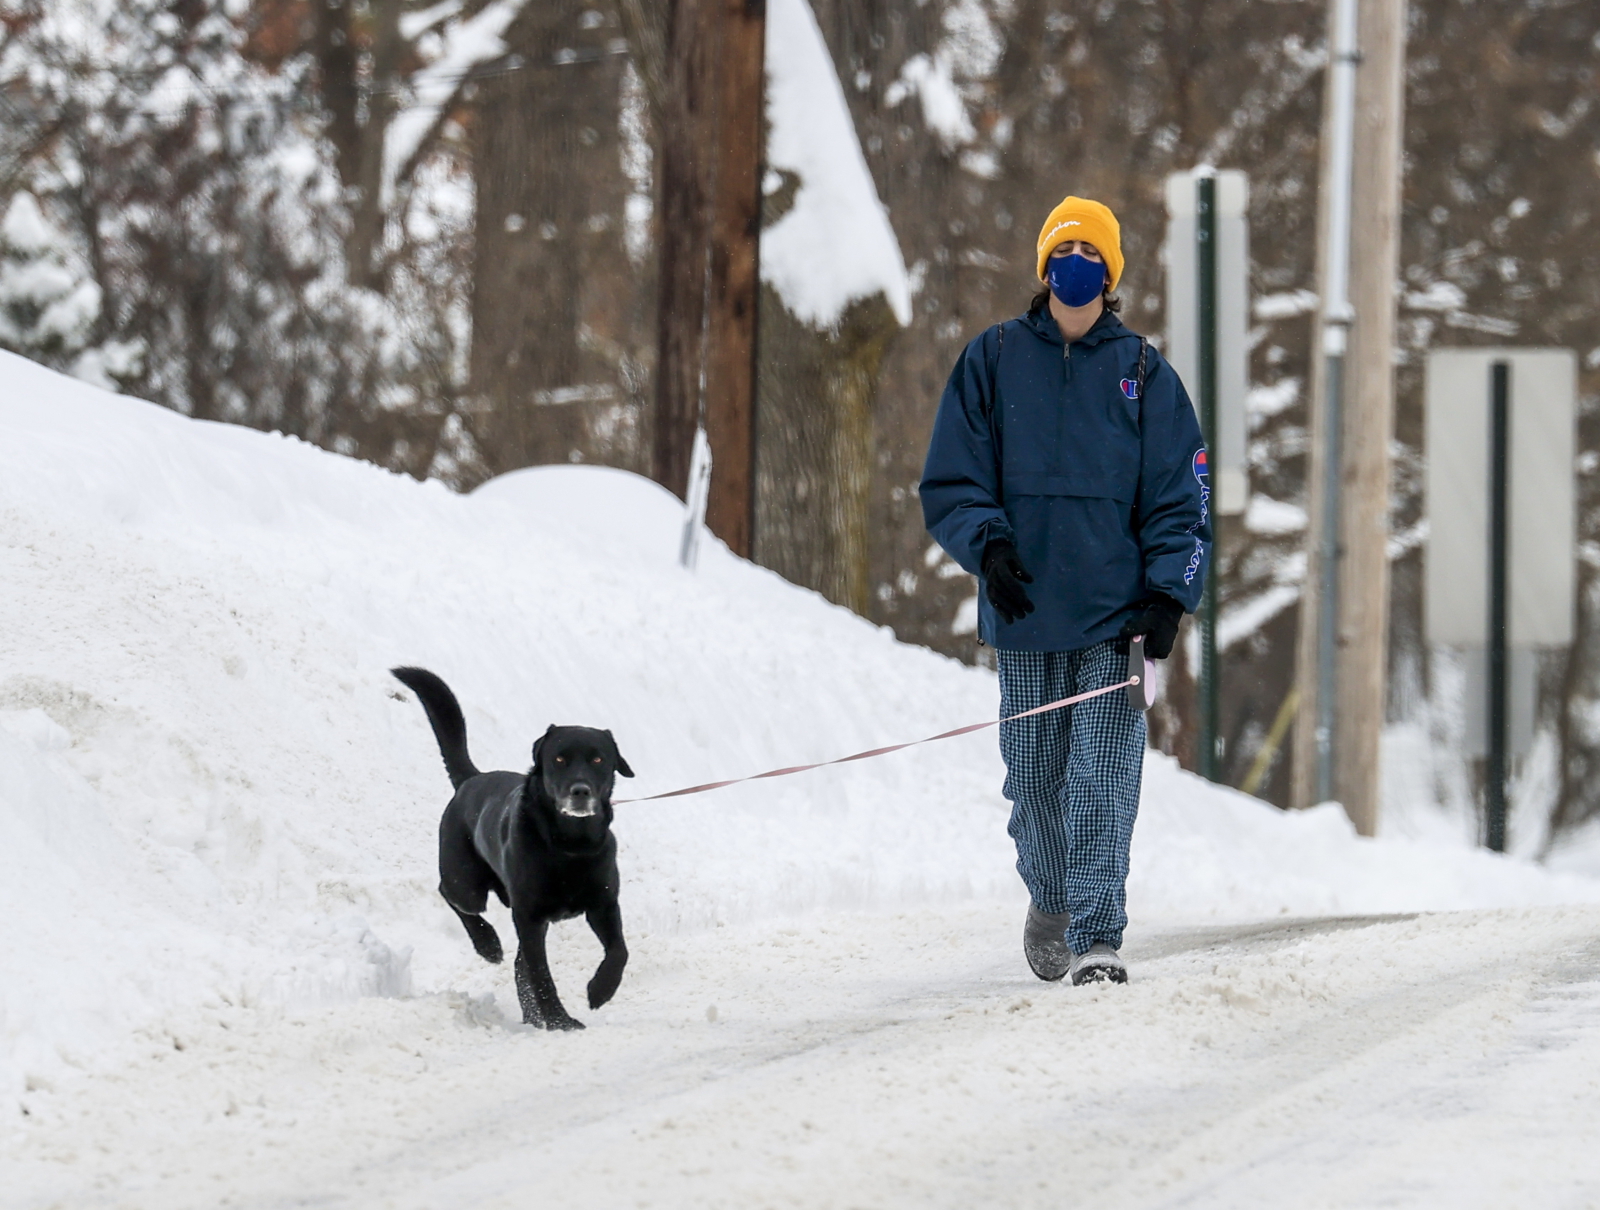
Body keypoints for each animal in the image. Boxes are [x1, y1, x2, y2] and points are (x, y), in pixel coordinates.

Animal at [390, 672, 633, 1030]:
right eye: (559, 759)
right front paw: (559, 1021)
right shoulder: (529, 915)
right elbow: (541, 975)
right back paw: (487, 944)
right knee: (451, 894)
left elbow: (619, 951)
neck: (569, 846)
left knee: (520, 964)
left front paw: (600, 991)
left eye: (598, 759)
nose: (580, 791)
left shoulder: (603, 904)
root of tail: (470, 780)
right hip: (467, 884)